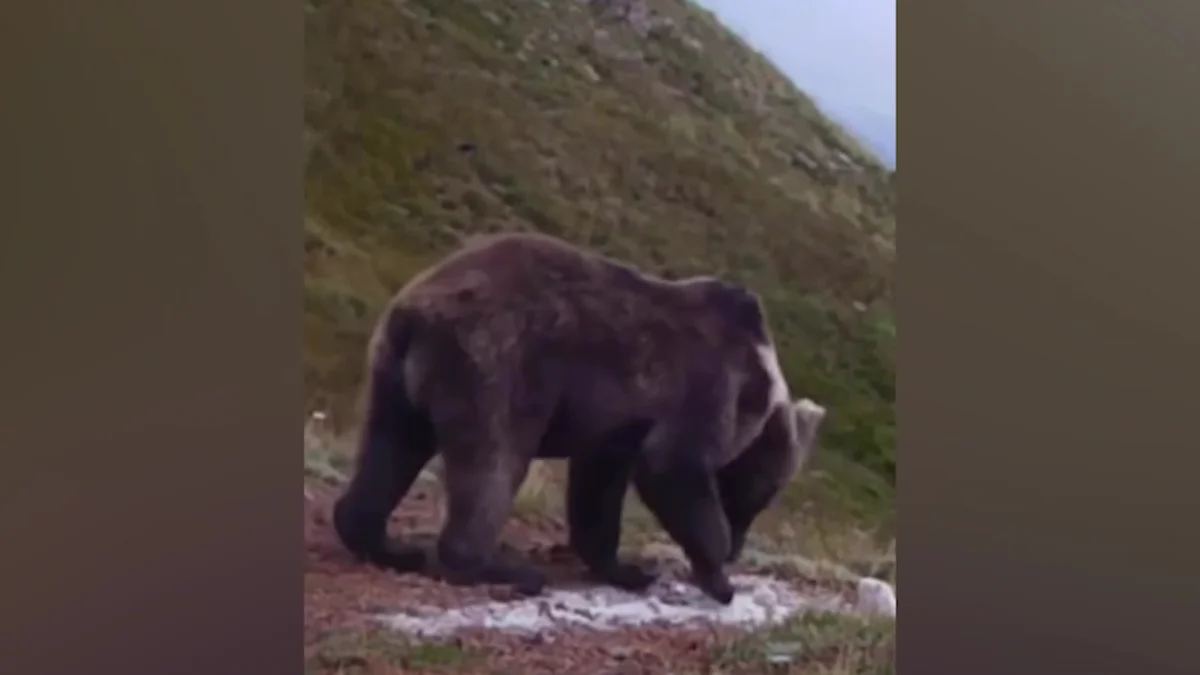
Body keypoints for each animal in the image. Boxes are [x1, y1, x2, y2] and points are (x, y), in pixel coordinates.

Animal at [331, 232, 826, 604]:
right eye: (760, 495)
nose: (740, 547)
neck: (758, 383)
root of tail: (420, 308)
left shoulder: (615, 427)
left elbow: (597, 492)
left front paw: (628, 569)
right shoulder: (704, 388)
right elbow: (671, 465)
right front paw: (717, 577)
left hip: (392, 373)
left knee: (390, 447)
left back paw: (387, 545)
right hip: (499, 364)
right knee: (494, 461)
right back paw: (501, 568)